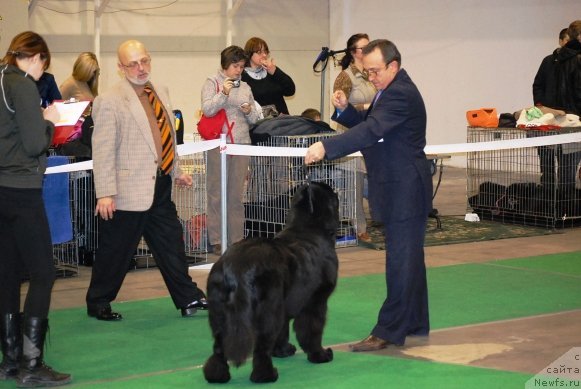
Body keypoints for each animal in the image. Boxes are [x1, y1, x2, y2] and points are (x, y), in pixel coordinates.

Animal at [204, 181, 340, 382]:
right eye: (332, 194)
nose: (336, 190)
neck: (309, 227)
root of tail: (234, 267)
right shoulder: (316, 300)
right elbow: (311, 330)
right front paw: (320, 355)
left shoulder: (286, 304)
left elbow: (284, 331)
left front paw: (283, 351)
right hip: (268, 309)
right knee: (261, 346)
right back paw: (266, 375)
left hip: (219, 310)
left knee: (219, 347)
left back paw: (217, 375)